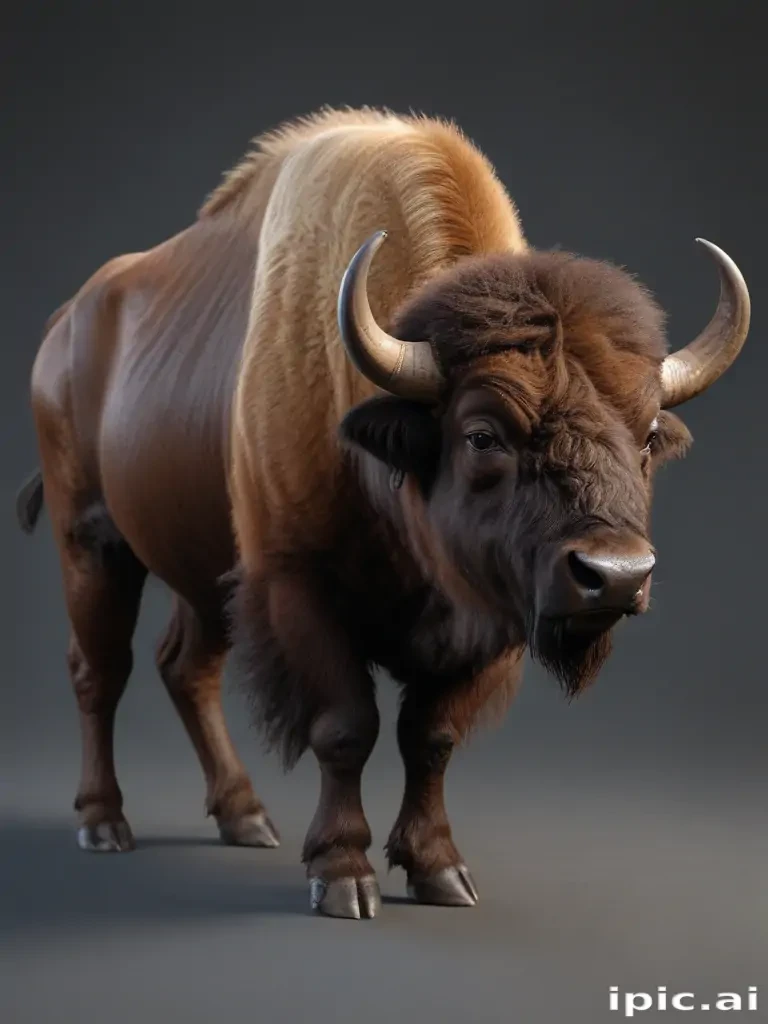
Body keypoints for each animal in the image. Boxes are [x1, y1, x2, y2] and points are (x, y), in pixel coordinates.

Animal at [18, 107, 750, 919]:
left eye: (648, 435)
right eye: (482, 434)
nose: (615, 575)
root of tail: (67, 323)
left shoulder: (490, 617)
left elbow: (430, 738)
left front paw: (440, 872)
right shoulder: (298, 587)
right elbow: (347, 728)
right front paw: (343, 875)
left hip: (203, 569)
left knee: (187, 667)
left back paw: (246, 816)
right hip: (91, 542)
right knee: (100, 669)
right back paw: (104, 824)